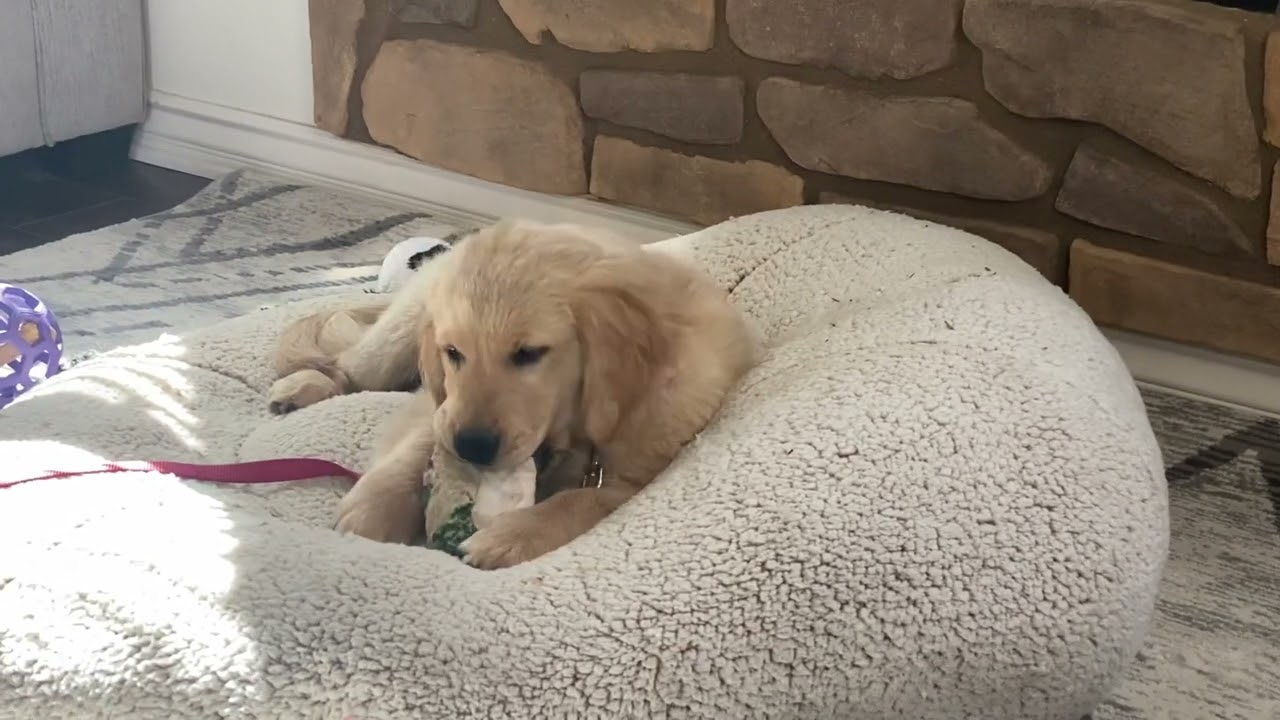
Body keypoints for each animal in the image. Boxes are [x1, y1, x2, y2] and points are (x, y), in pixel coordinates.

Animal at [266, 219, 752, 566]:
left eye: (529, 353)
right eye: (453, 352)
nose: (473, 447)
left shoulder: (641, 473)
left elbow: (583, 501)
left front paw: (509, 538)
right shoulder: (442, 404)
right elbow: (421, 441)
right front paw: (374, 507)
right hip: (397, 338)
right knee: (348, 367)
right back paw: (301, 387)